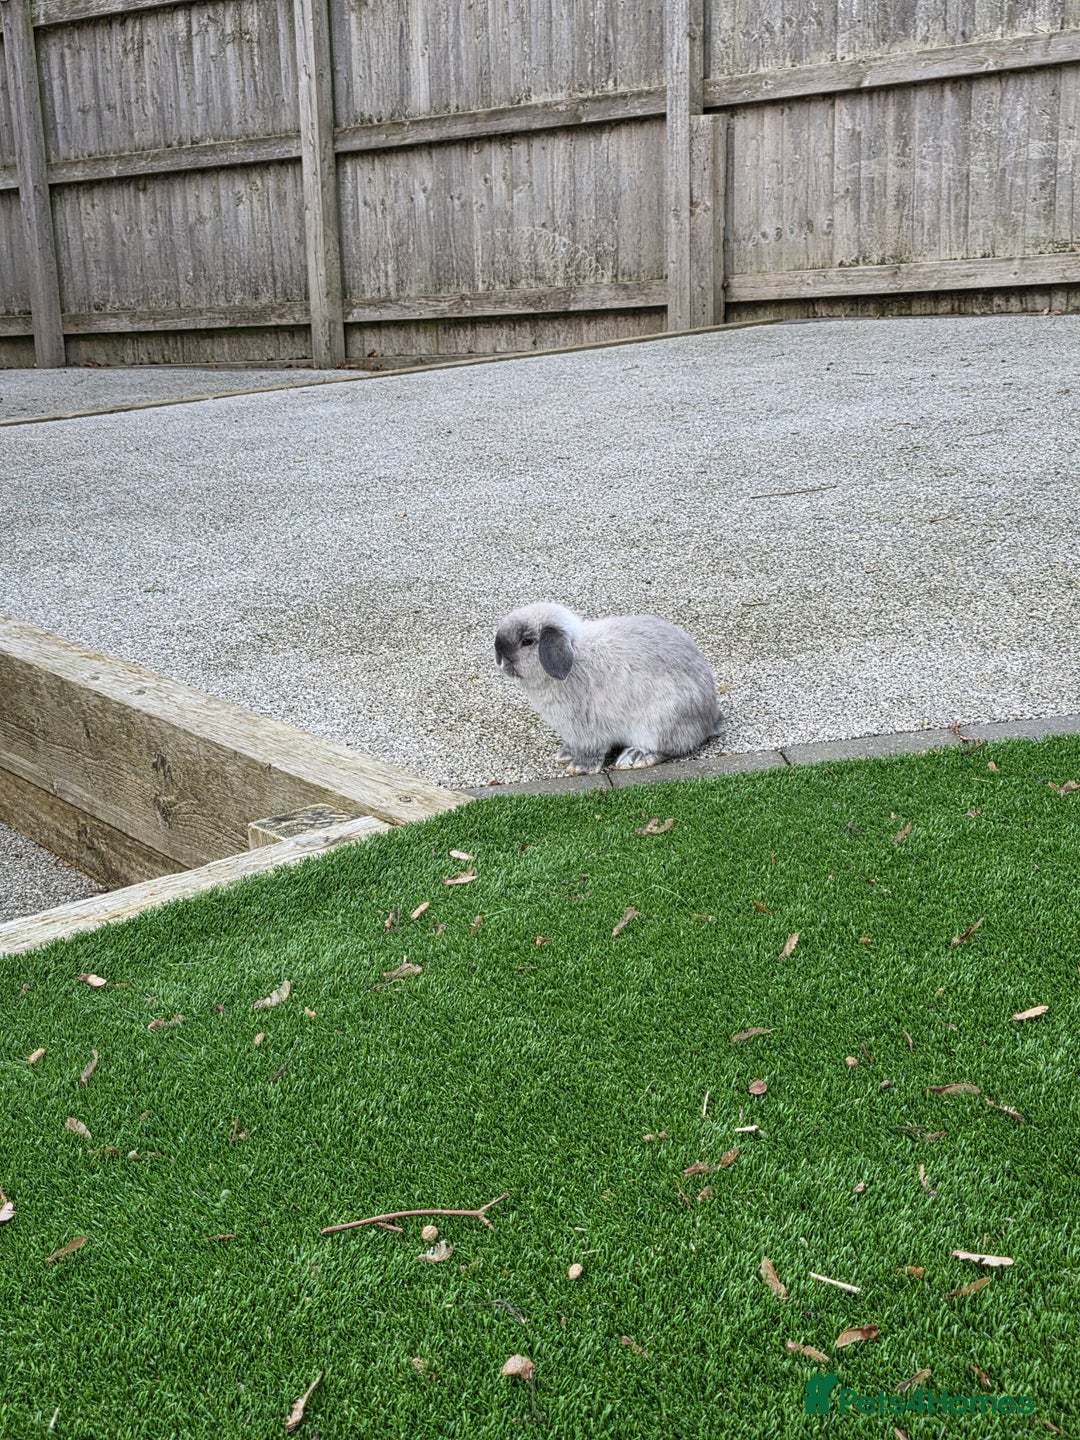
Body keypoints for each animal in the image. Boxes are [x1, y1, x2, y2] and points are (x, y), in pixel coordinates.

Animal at [494, 602, 723, 775]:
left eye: (527, 641)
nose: (499, 657)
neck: (575, 656)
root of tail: (709, 719)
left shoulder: (587, 730)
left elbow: (591, 750)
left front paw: (579, 768)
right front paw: (564, 755)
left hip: (660, 722)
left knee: (670, 748)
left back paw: (634, 757)